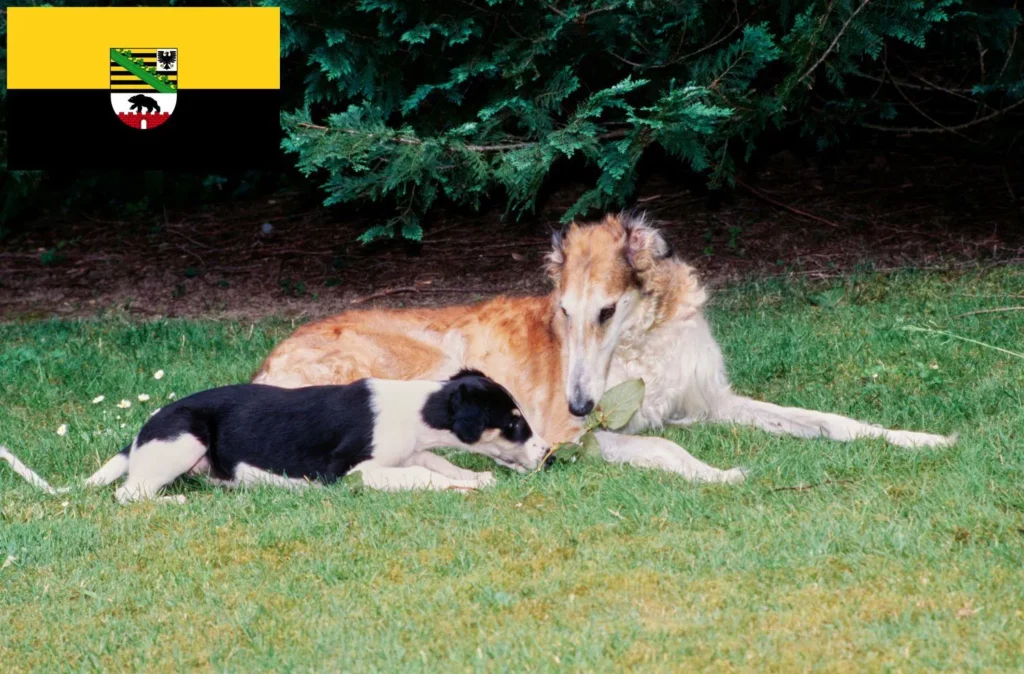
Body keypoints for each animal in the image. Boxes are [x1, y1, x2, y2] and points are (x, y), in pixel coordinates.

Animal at [253, 213, 950, 479]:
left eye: (606, 311)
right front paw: (719, 473)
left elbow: (830, 420)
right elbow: (665, 446)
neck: (645, 341)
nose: (581, 406)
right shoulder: (577, 433)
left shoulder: (714, 401)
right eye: (563, 312)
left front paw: (921, 438)